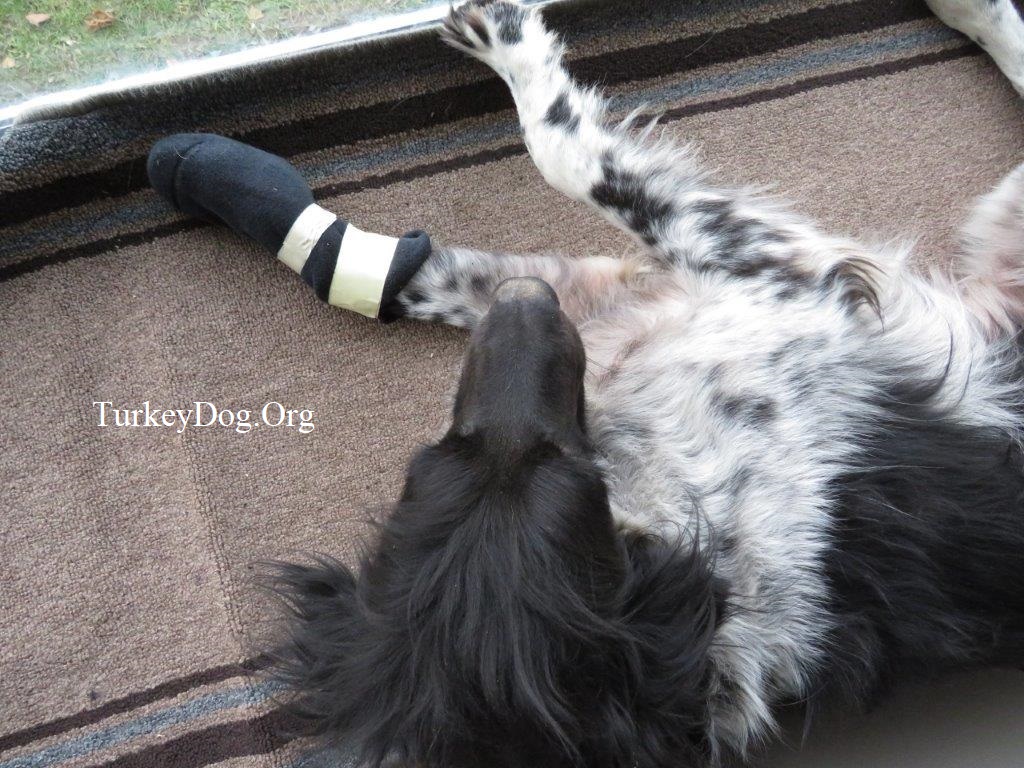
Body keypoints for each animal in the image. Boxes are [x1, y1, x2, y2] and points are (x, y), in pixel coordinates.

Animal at [266, 1, 1024, 765]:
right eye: (567, 467)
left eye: (440, 450)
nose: (526, 301)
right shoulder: (776, 279)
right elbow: (561, 170)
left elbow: (504, 221)